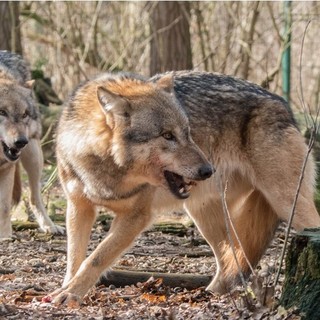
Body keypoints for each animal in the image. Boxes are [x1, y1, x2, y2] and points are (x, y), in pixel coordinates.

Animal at [0, 50, 64, 238]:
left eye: (24, 114)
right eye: (2, 112)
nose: (21, 142)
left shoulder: (7, 167)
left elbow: (4, 207)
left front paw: (4, 237)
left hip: (34, 157)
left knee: (34, 197)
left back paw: (49, 226)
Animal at [50, 70, 320, 304]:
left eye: (188, 132)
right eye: (167, 136)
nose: (208, 170)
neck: (105, 168)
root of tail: (282, 103)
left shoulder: (136, 216)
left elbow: (96, 258)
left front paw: (71, 294)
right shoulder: (78, 207)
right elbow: (75, 258)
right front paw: (65, 288)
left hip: (289, 205)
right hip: (204, 215)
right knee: (229, 259)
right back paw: (211, 296)